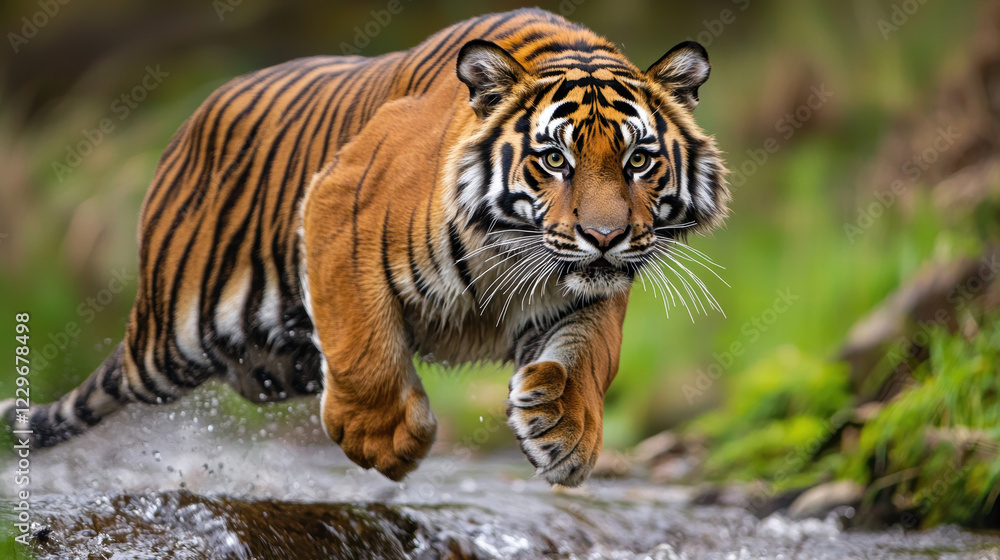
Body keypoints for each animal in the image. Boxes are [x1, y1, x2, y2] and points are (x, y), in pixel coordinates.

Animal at [4, 8, 729, 487]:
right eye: (554, 159)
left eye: (639, 160)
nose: (604, 237)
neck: (511, 252)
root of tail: (191, 119)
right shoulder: (335, 204)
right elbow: (362, 340)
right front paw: (386, 440)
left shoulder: (589, 289)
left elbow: (588, 354)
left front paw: (565, 430)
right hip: (170, 344)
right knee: (111, 384)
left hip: (266, 368)